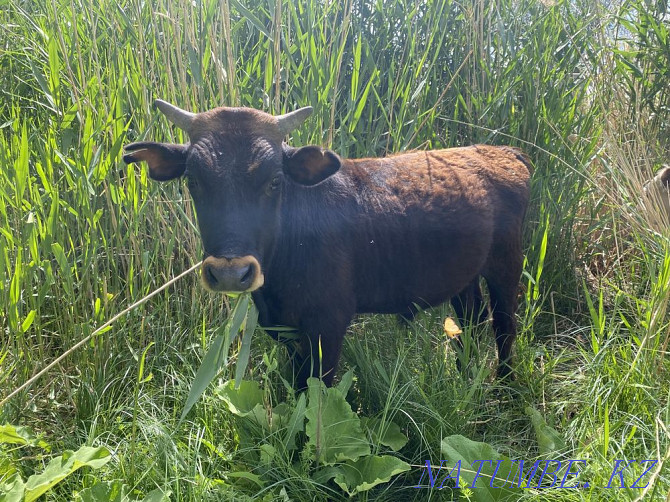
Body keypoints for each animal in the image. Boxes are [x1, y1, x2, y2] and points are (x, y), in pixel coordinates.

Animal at [123, 99, 532, 388]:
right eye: (193, 181)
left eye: (275, 181)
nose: (229, 273)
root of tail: (498, 151)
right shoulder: (289, 330)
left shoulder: (329, 324)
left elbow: (315, 392)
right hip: (464, 272)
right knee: (471, 319)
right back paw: (464, 376)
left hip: (507, 262)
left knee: (504, 324)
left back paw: (506, 385)